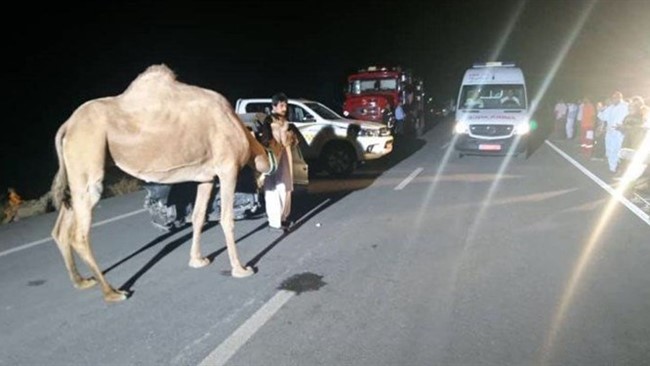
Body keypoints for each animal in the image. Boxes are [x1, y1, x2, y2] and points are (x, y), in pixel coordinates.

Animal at [52, 64, 290, 302]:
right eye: (287, 128)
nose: (294, 135)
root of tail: (67, 125)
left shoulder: (206, 177)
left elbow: (198, 216)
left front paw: (197, 260)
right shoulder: (227, 169)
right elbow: (226, 219)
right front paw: (241, 269)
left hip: (76, 173)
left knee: (61, 228)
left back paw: (81, 281)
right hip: (88, 155)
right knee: (79, 234)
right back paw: (112, 292)